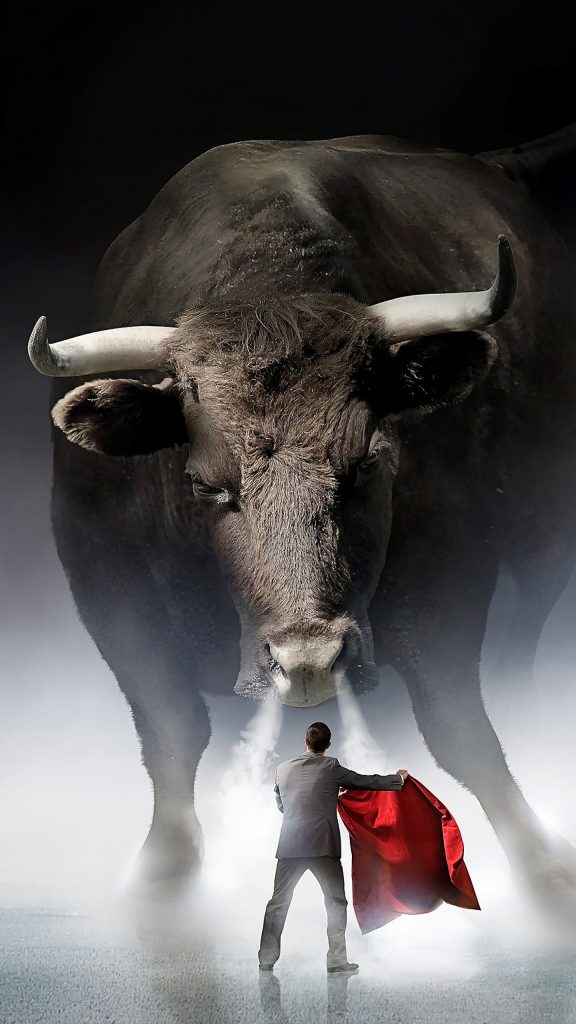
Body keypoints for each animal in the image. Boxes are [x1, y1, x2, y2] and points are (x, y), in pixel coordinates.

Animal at [29, 126, 576, 907]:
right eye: (204, 485)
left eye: (370, 459)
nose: (310, 660)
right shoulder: (103, 580)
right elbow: (170, 730)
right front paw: (164, 872)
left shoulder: (450, 570)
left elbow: (457, 723)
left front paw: (541, 864)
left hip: (544, 524)